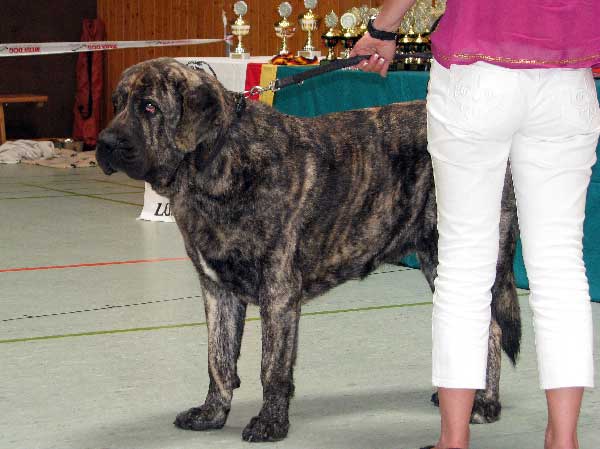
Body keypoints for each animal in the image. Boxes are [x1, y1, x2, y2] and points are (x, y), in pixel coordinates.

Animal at [95, 58, 520, 440]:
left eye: (149, 107)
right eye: (117, 102)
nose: (104, 144)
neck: (216, 163)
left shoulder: (278, 292)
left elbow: (272, 367)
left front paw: (270, 424)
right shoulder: (217, 289)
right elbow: (218, 359)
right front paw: (213, 413)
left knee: (493, 330)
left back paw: (484, 404)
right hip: (435, 259)